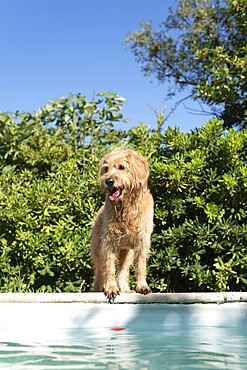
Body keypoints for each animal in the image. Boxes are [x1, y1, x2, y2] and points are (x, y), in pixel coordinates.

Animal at [89, 147, 153, 300]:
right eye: (106, 169)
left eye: (122, 167)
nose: (108, 181)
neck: (126, 207)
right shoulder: (108, 241)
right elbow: (110, 267)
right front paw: (111, 288)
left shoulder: (142, 240)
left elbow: (141, 265)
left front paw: (142, 286)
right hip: (97, 249)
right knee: (100, 272)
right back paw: (96, 290)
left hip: (127, 253)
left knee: (123, 272)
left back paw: (125, 289)